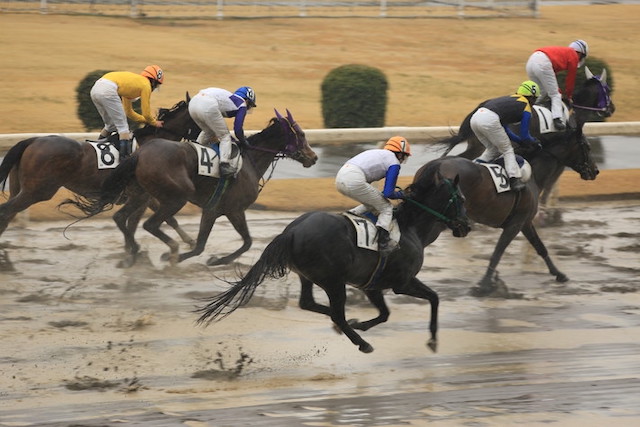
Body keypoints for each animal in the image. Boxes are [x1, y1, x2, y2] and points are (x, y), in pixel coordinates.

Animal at [0, 96, 200, 246]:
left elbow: (165, 219)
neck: (151, 142)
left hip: (20, 188)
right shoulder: (143, 194)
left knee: (8, 215)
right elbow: (143, 221)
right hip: (38, 190)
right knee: (6, 211)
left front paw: (187, 240)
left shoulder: (143, 195)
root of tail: (32, 140)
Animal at [70, 108, 318, 268]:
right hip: (176, 196)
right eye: (301, 134)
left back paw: (134, 252)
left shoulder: (215, 210)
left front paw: (210, 257)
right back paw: (166, 251)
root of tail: (139, 153)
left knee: (122, 218)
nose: (313, 157)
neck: (249, 162)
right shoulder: (231, 210)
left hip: (142, 193)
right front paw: (212, 259)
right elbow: (240, 243)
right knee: (150, 224)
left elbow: (215, 244)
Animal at [195, 161, 470, 354]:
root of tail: (291, 231)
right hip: (334, 281)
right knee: (336, 312)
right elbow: (433, 298)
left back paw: (346, 325)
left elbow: (385, 314)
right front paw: (433, 340)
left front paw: (360, 323)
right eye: (462, 198)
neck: (410, 226)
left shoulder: (372, 284)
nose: (466, 226)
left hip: (308, 275)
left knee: (308, 303)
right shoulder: (402, 282)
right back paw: (361, 342)